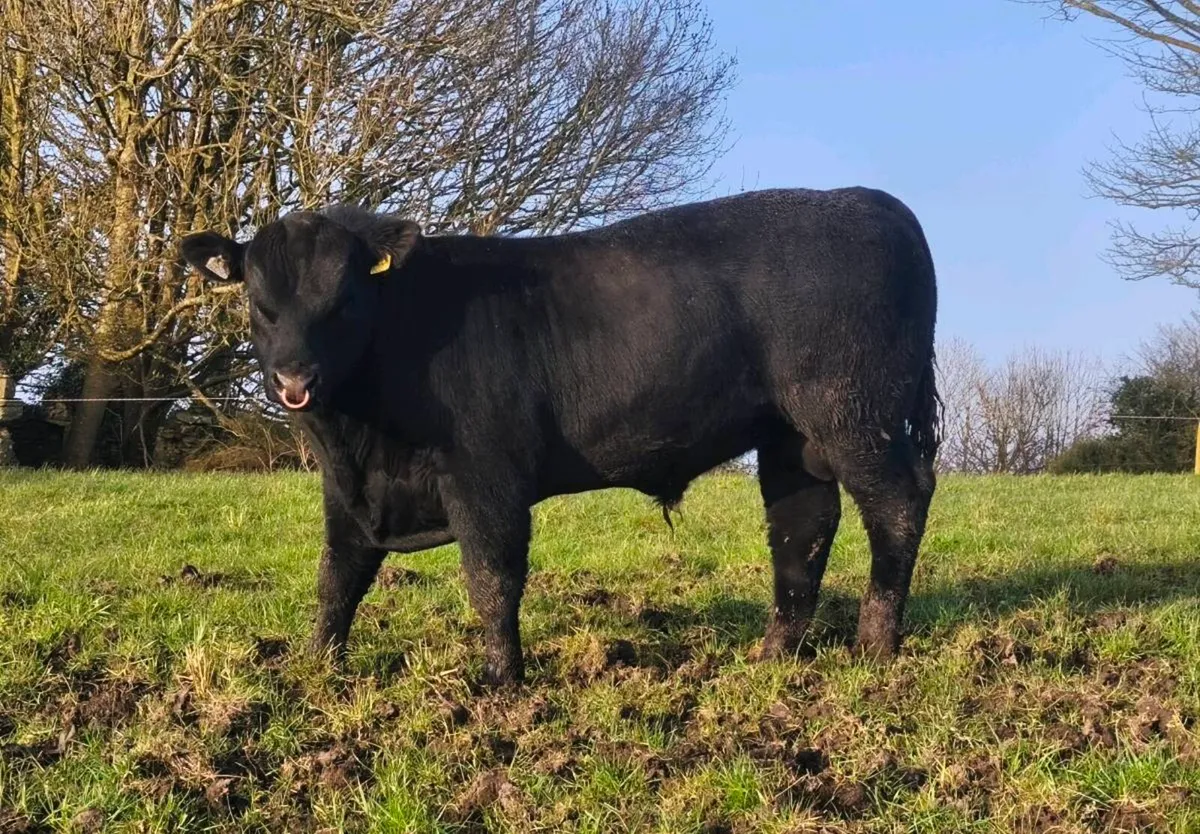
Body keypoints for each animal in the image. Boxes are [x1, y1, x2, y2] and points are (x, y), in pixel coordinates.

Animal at [180, 187, 939, 685]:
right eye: (260, 303)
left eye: (343, 302)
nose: (293, 377)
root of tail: (873, 202)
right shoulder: (348, 490)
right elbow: (338, 576)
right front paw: (316, 666)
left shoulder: (484, 475)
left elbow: (491, 578)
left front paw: (502, 681)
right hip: (792, 437)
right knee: (801, 528)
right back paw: (773, 655)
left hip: (854, 414)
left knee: (898, 504)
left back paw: (876, 647)